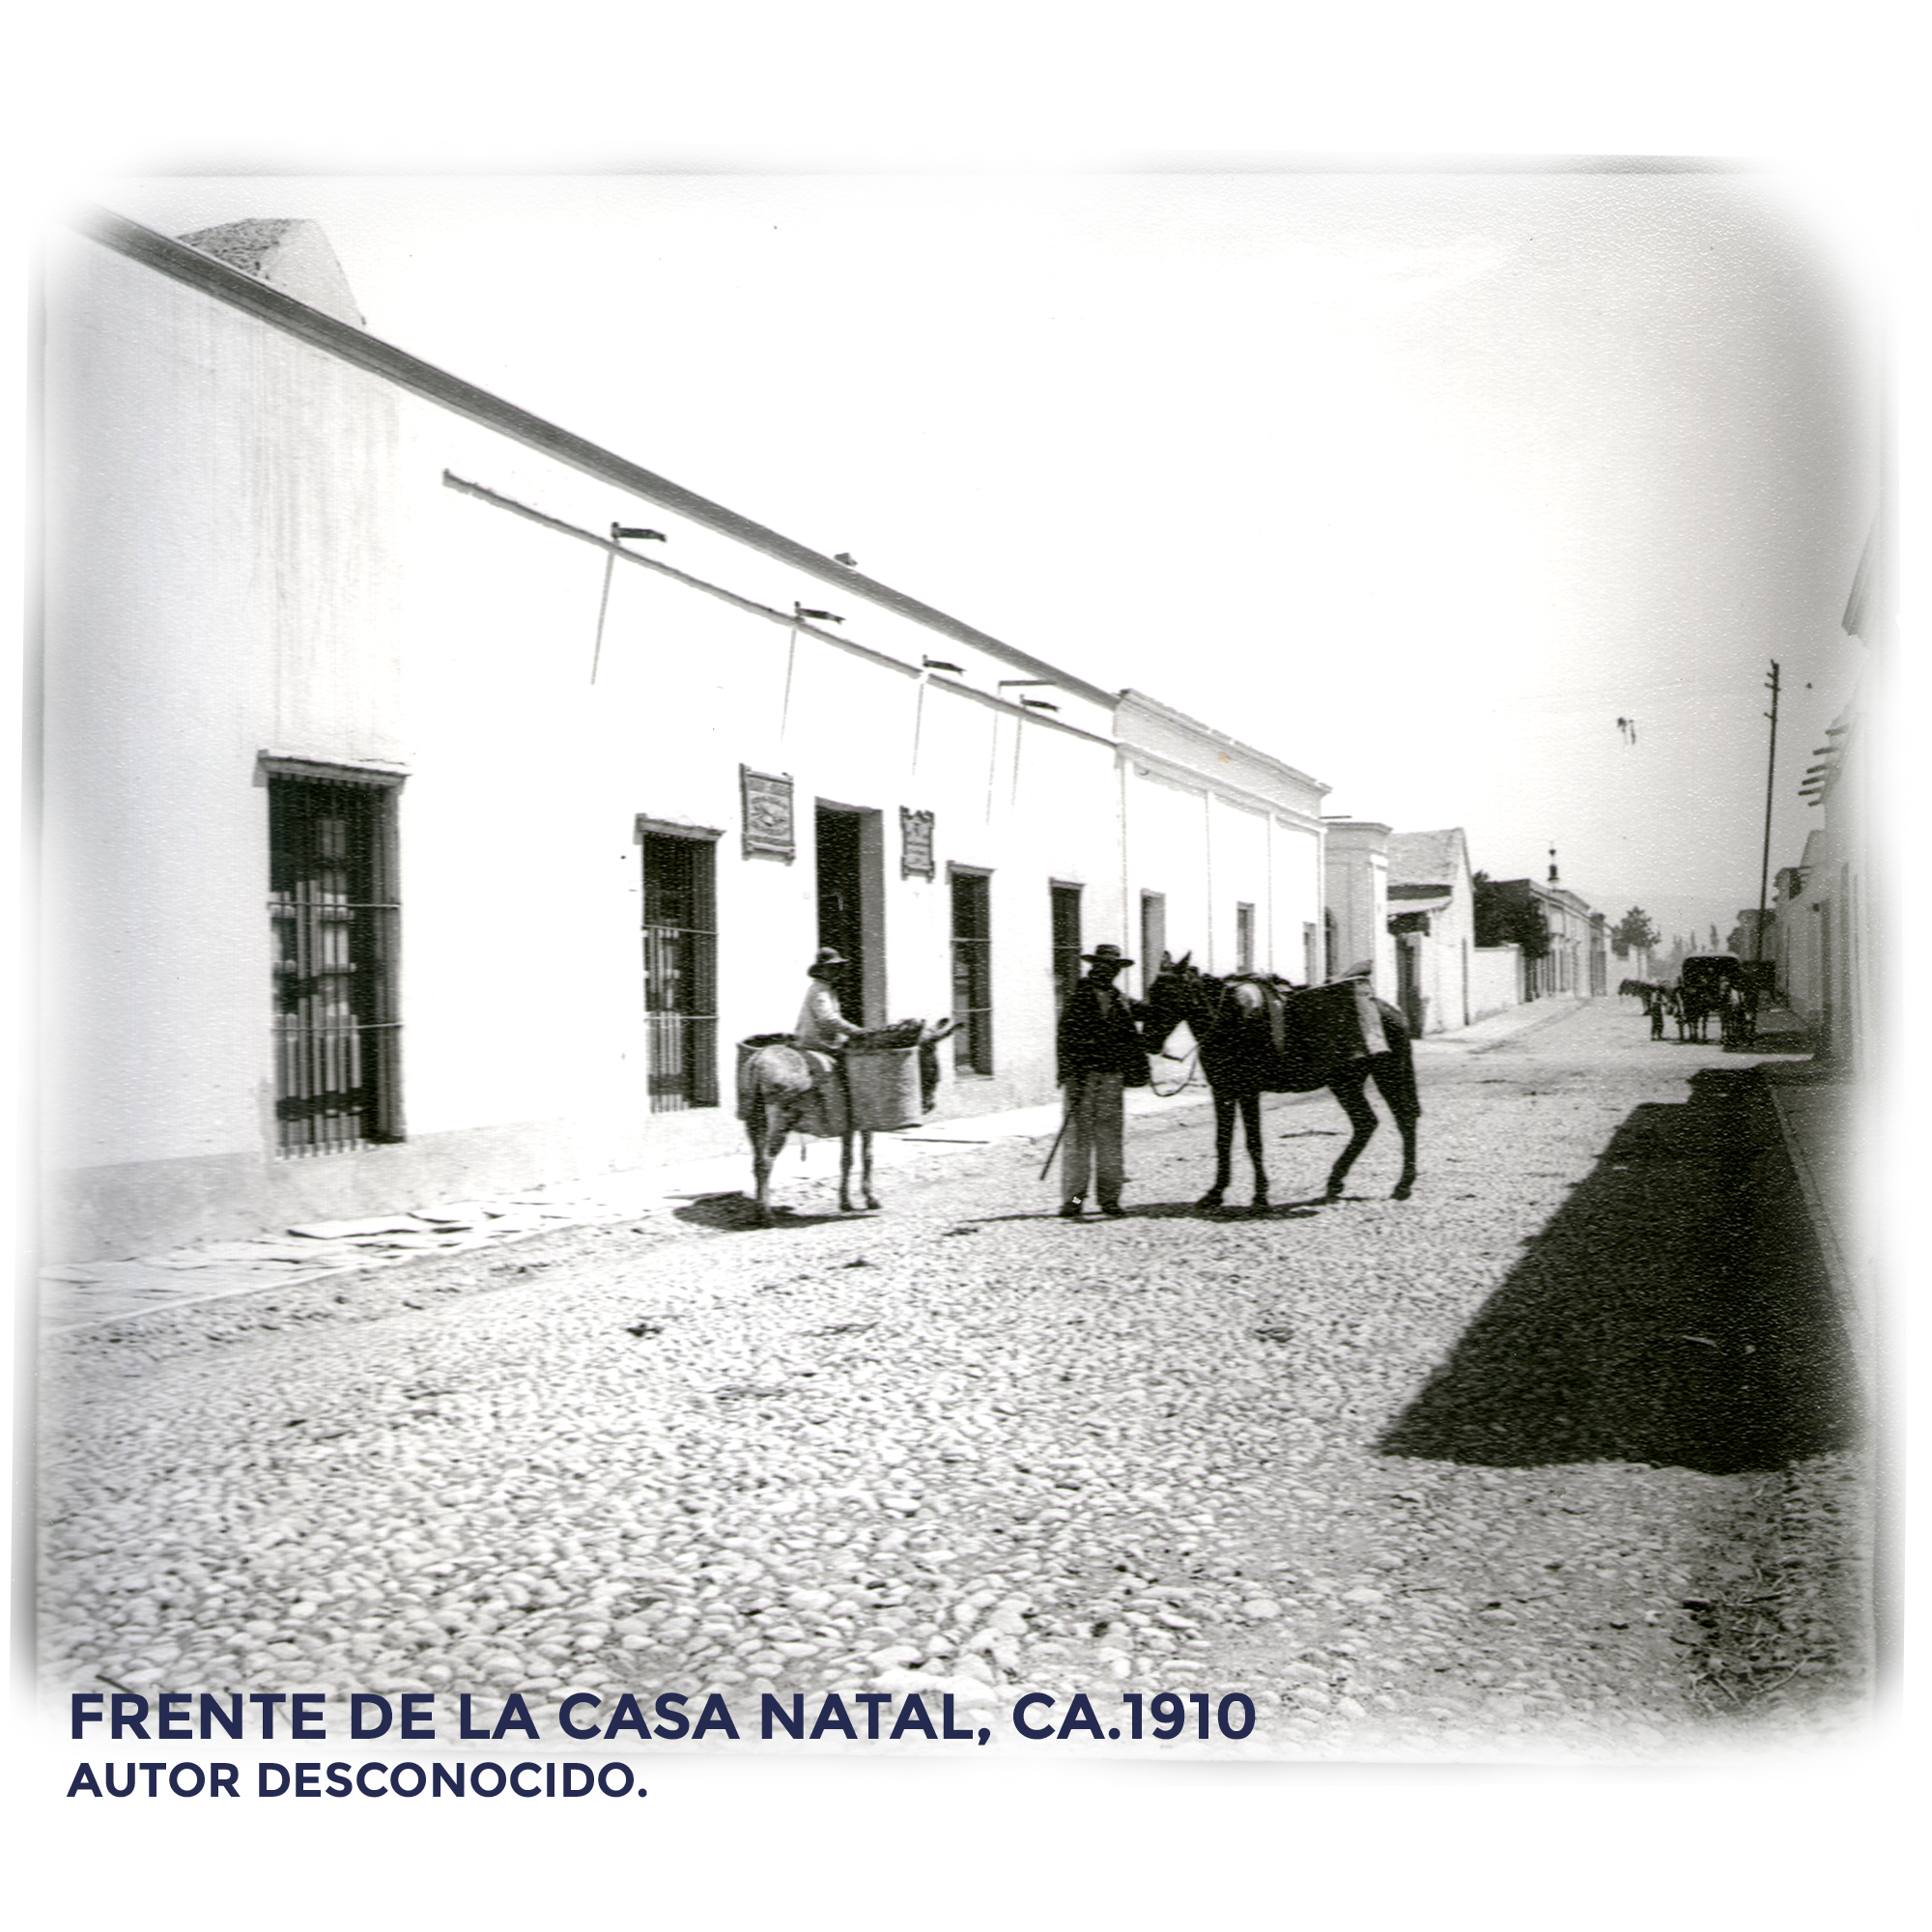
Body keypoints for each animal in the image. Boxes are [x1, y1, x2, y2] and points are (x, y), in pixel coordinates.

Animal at [739, 1018, 955, 1226]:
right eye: (927, 1053)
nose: (929, 1105)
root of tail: (759, 1059)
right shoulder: (866, 1123)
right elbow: (867, 1157)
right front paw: (870, 1198)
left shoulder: (848, 1126)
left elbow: (846, 1160)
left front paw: (845, 1202)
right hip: (779, 1123)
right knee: (766, 1162)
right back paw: (767, 1215)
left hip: (754, 1122)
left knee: (756, 1161)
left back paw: (757, 1212)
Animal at [1139, 953, 1420, 1210]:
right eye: (1152, 990)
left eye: (1170, 993)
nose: (1149, 1042)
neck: (1229, 1021)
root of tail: (1393, 1011)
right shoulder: (1223, 1091)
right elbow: (1222, 1141)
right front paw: (1215, 1193)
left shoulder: (1248, 1091)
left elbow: (1253, 1142)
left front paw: (1260, 1196)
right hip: (1345, 1083)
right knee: (1366, 1123)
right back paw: (1336, 1181)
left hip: (1385, 1075)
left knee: (1403, 1119)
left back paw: (1403, 1185)